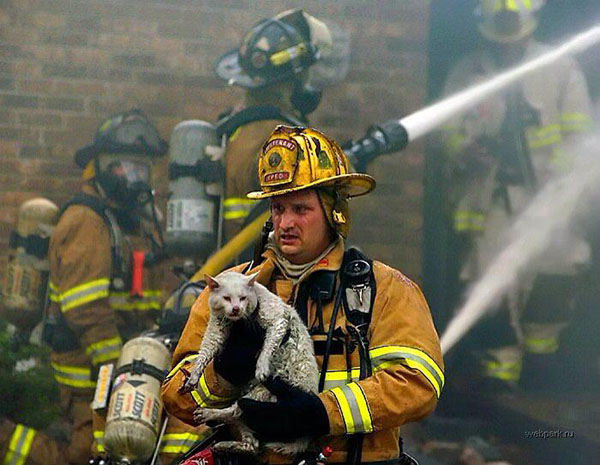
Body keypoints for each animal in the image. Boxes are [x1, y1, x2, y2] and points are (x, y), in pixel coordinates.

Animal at [184, 270, 318, 454]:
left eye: (243, 298)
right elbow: (204, 351)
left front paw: (261, 367)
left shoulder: (278, 321)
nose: (236, 308)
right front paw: (193, 376)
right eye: (226, 298)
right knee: (251, 444)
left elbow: (268, 346)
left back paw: (209, 414)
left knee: (235, 412)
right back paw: (225, 444)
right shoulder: (216, 328)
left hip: (262, 394)